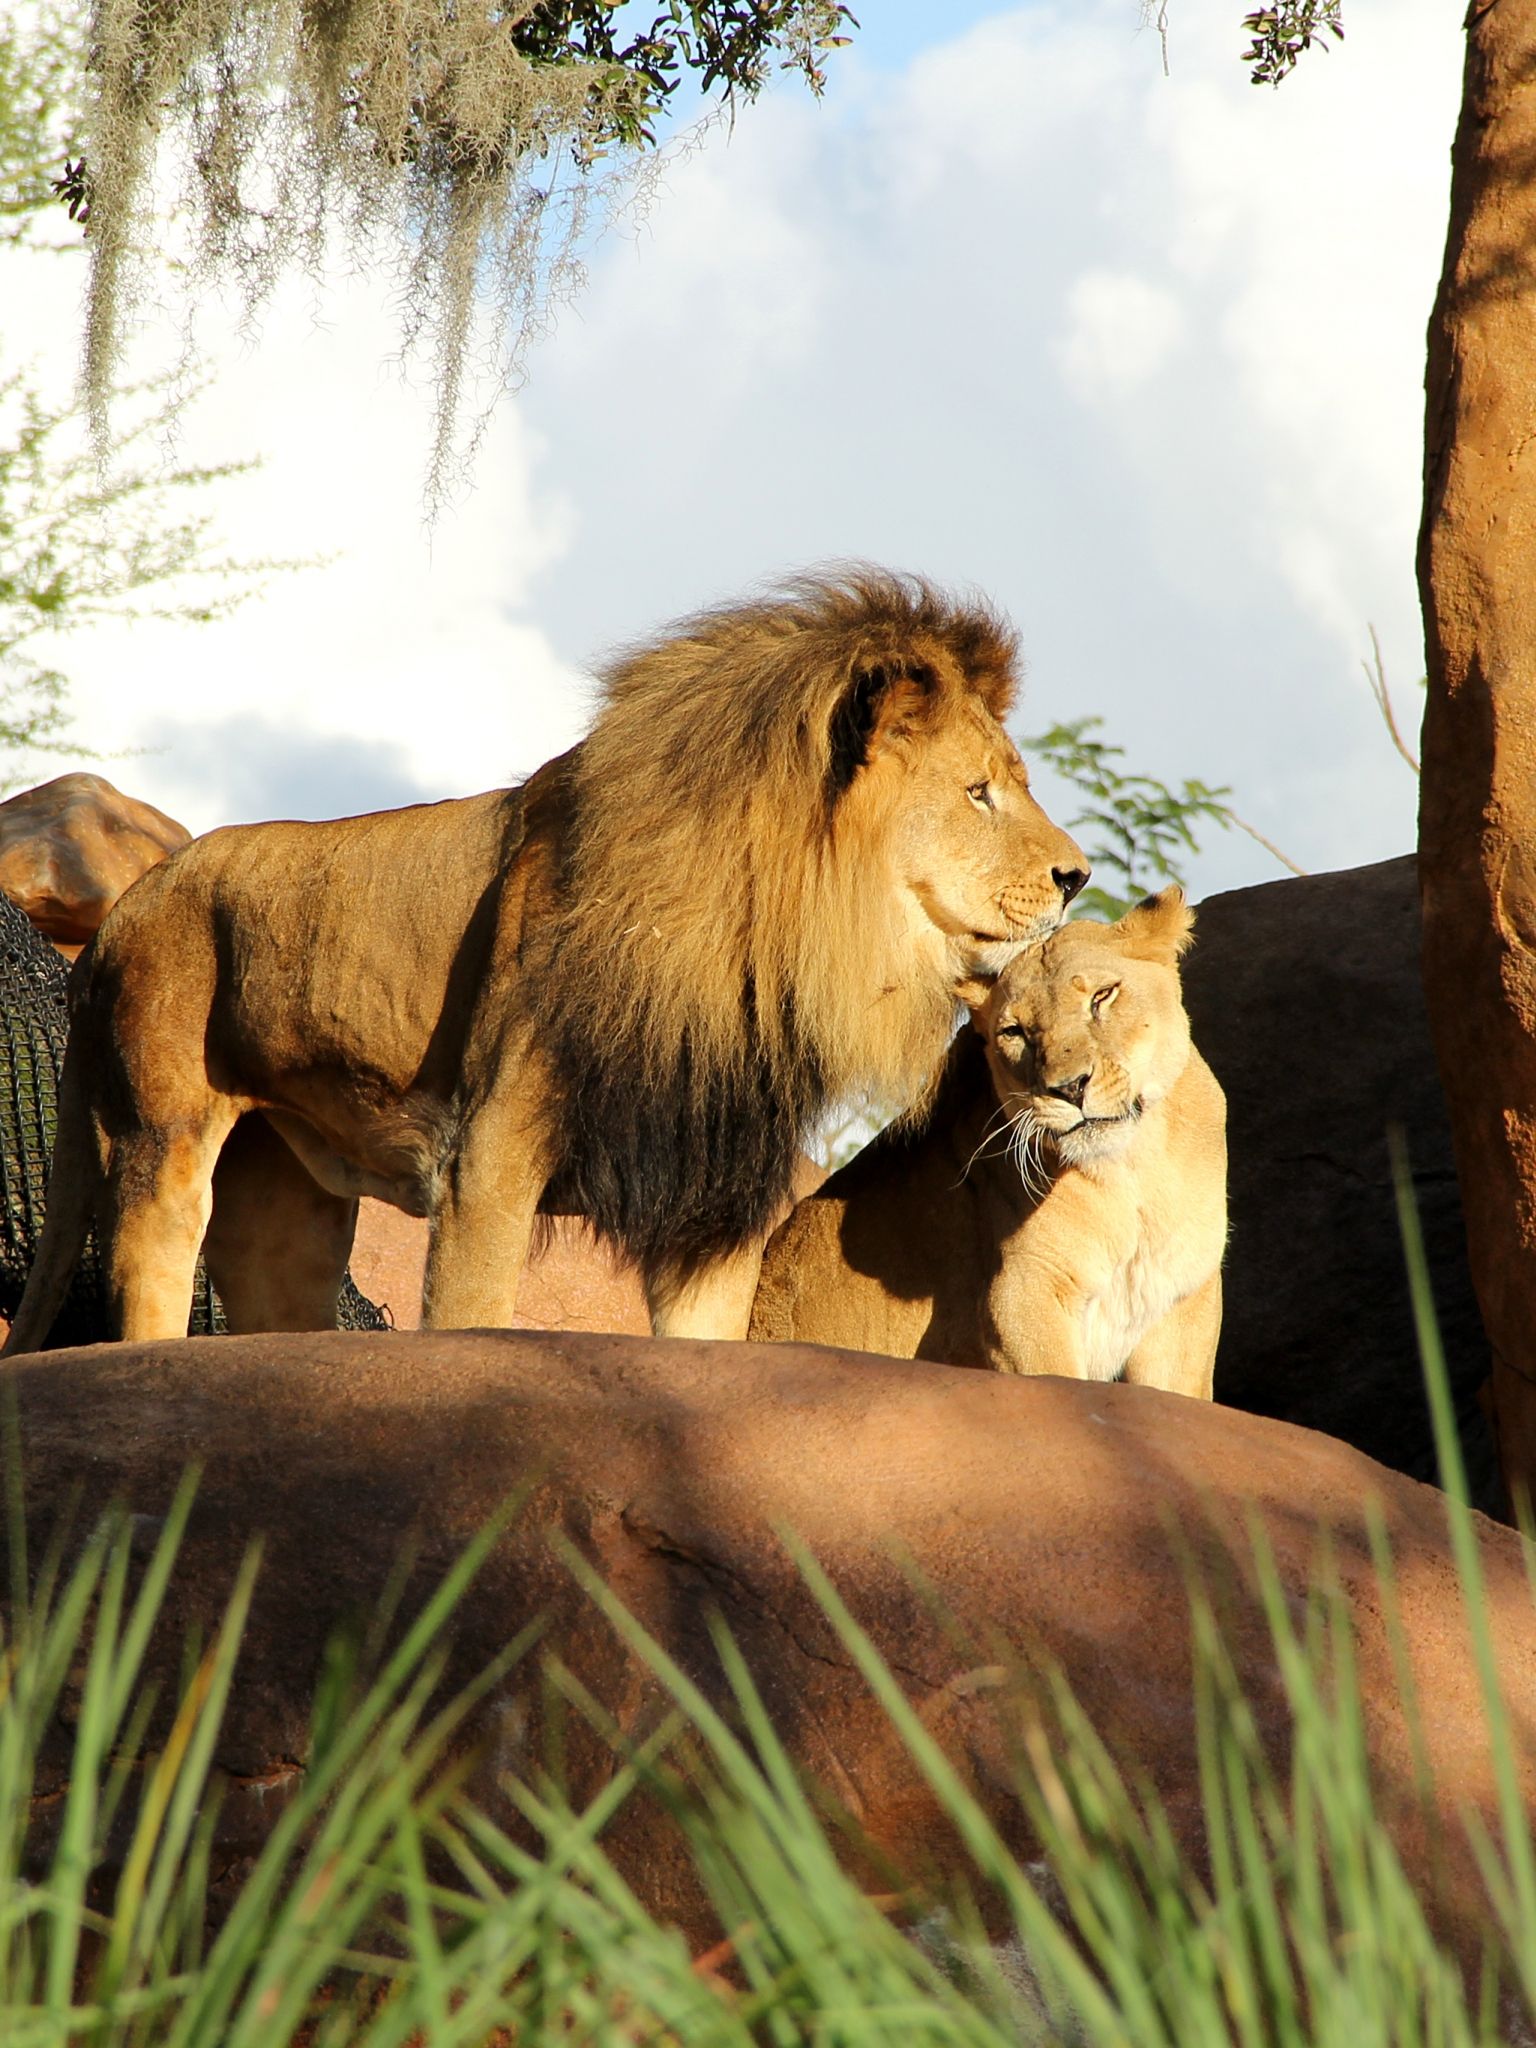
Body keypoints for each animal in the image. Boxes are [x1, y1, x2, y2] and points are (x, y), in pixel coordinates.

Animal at [3, 569, 1090, 1353]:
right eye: (981, 791)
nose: (1076, 875)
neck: (763, 937)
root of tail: (122, 914)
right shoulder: (488, 1152)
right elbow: (473, 1316)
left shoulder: (711, 1193)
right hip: (159, 1145)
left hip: (285, 1210)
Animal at [749, 888, 1227, 1395]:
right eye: (1014, 1032)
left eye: (1102, 995)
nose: (1069, 1089)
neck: (1134, 1169)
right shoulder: (1018, 1294)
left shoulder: (1181, 1301)